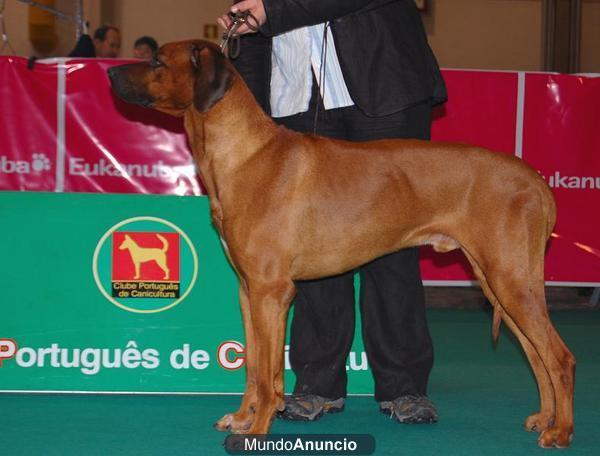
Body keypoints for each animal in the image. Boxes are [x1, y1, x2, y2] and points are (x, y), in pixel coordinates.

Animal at [109, 40, 576, 448]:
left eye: (157, 61)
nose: (111, 73)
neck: (244, 152)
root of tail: (536, 180)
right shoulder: (248, 290)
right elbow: (253, 366)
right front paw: (243, 417)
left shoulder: (270, 292)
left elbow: (268, 373)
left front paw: (257, 430)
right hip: (500, 282)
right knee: (537, 356)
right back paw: (544, 418)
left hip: (509, 279)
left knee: (559, 358)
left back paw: (561, 431)